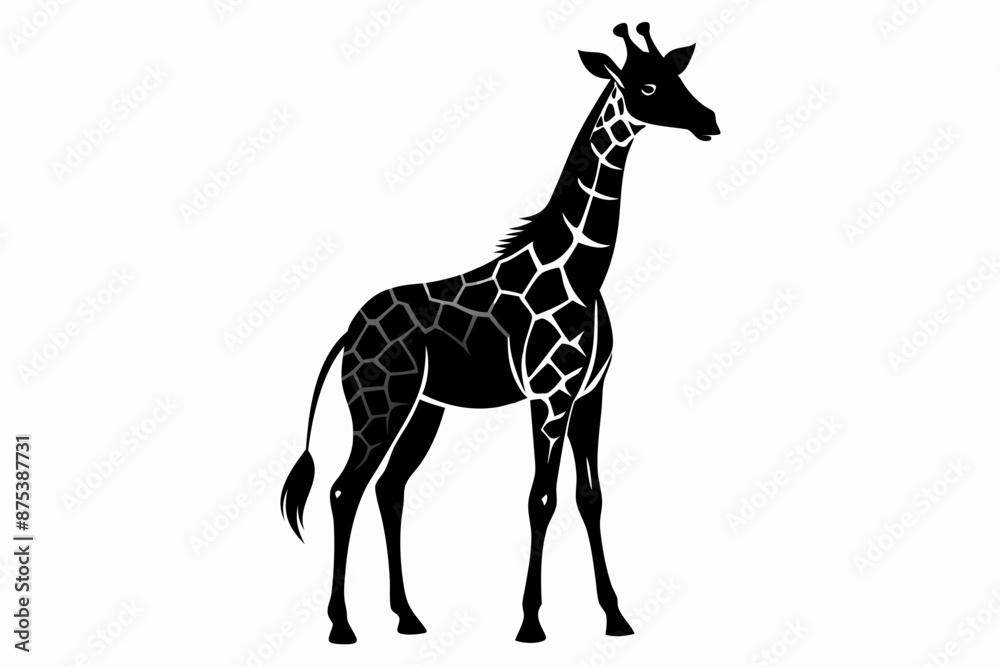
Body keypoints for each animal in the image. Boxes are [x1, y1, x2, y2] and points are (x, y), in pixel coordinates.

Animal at [281, 22, 720, 644]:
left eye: (679, 76)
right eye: (649, 86)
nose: (710, 119)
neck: (583, 272)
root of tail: (348, 331)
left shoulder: (589, 394)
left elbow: (590, 496)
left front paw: (615, 617)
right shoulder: (549, 394)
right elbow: (541, 498)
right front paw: (531, 622)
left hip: (425, 410)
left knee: (390, 489)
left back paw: (408, 617)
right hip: (379, 405)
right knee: (346, 489)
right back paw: (342, 625)